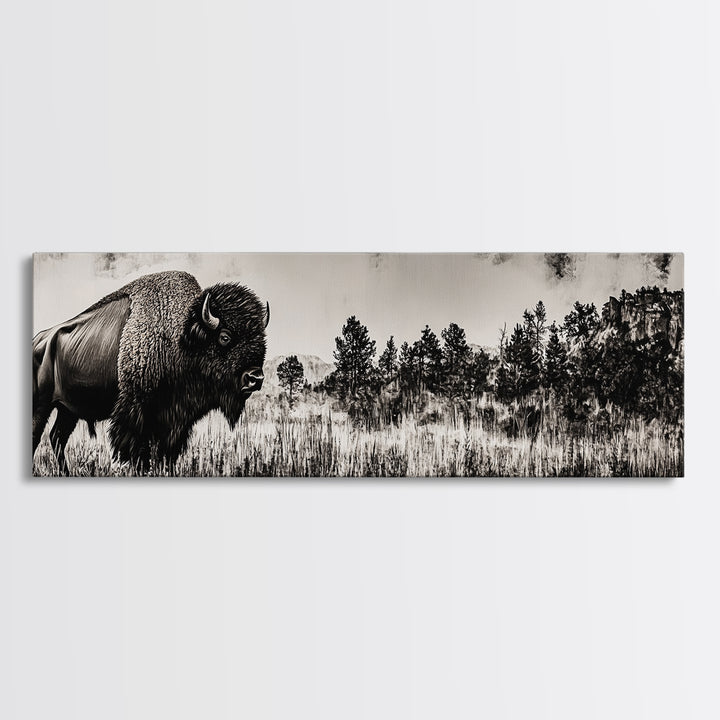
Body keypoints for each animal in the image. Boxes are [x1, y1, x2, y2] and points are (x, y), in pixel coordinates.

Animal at [32, 270, 269, 473]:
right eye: (225, 337)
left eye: (262, 339)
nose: (255, 378)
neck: (181, 337)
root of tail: (39, 339)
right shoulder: (135, 412)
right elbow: (138, 452)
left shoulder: (176, 419)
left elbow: (166, 452)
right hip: (42, 404)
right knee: (37, 435)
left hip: (67, 409)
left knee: (57, 437)